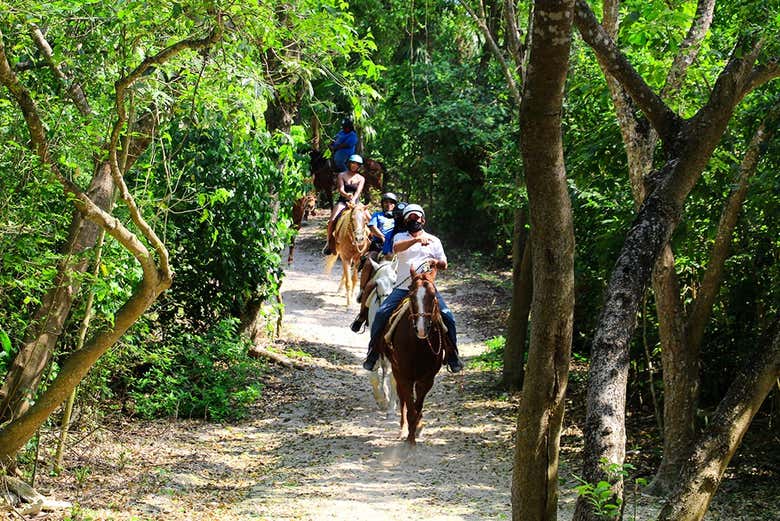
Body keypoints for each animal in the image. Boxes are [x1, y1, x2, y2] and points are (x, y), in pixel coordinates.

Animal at [380, 264, 448, 442]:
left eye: (433, 294)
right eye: (411, 294)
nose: (422, 329)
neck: (418, 345)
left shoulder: (427, 378)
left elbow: (418, 407)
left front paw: (416, 431)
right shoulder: (405, 376)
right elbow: (410, 408)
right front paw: (409, 439)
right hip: (397, 371)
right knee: (403, 399)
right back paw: (403, 429)